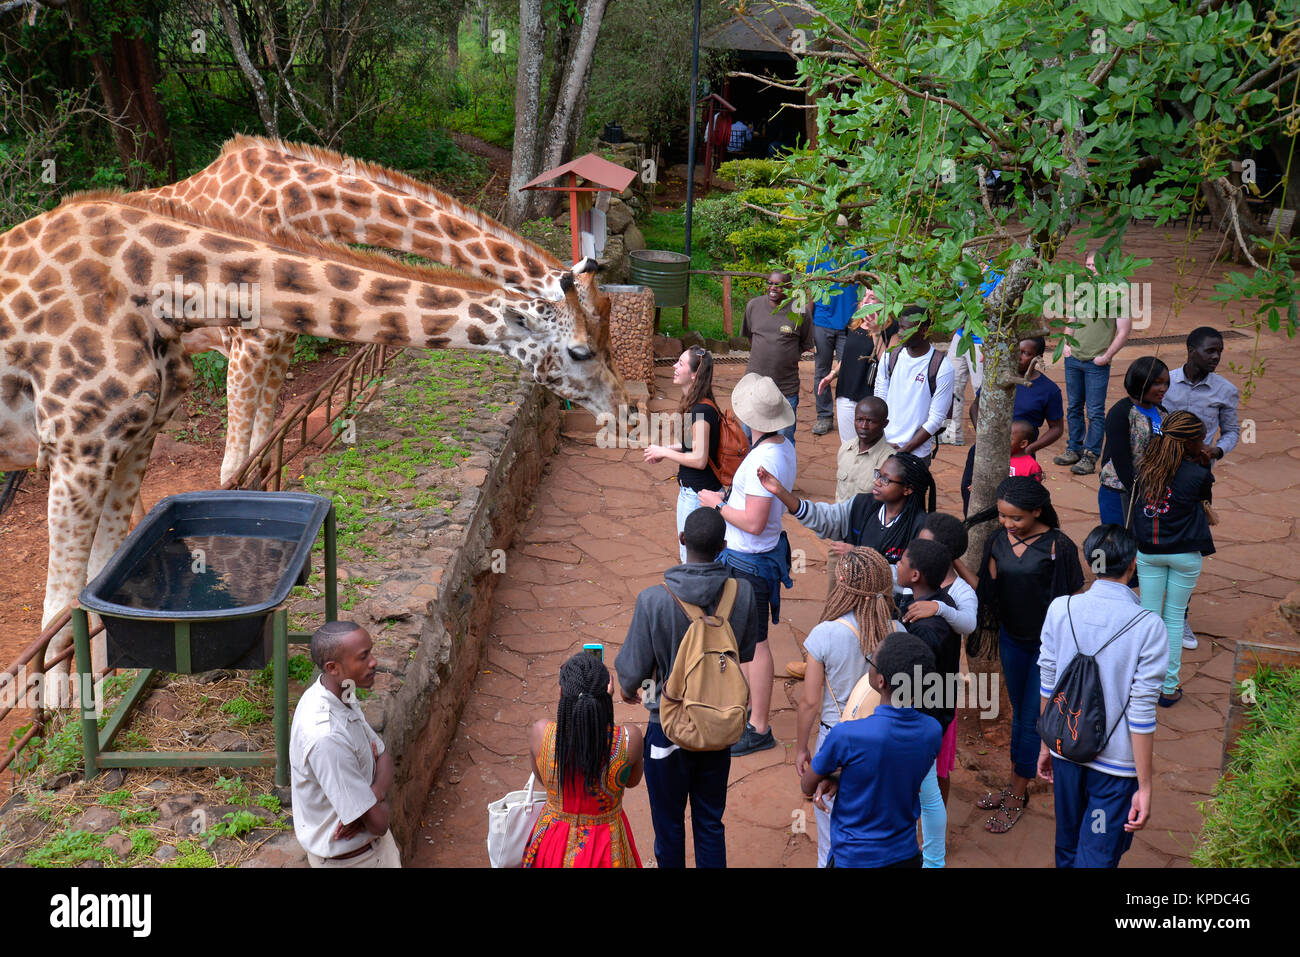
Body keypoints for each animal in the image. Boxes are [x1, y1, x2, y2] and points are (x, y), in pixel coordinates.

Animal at [0, 191, 618, 676]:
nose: (624, 410)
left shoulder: (138, 432)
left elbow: (104, 578)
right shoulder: (80, 442)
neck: (152, 281)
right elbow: (60, 607)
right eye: (581, 350)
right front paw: (67, 706)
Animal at [149, 134, 616, 486]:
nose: (616, 404)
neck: (299, 206)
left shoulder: (279, 343)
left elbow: (263, 450)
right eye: (587, 339)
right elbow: (232, 466)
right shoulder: (245, 344)